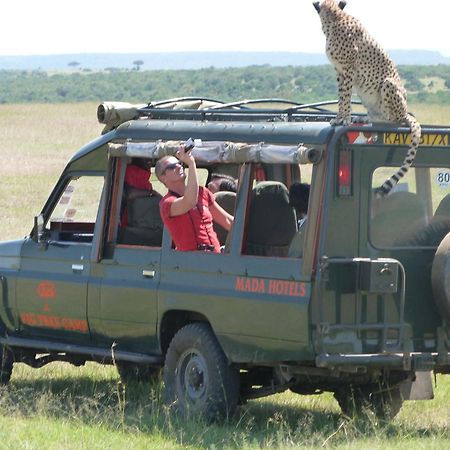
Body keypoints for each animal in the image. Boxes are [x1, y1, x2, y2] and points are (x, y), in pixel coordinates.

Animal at [312, 0, 422, 196]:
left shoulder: (348, 70)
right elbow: (341, 97)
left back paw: (371, 119)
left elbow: (345, 97)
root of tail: (405, 111)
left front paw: (344, 120)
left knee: (392, 120)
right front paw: (339, 118)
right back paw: (363, 117)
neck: (335, 18)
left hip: (388, 85)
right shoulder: (339, 71)